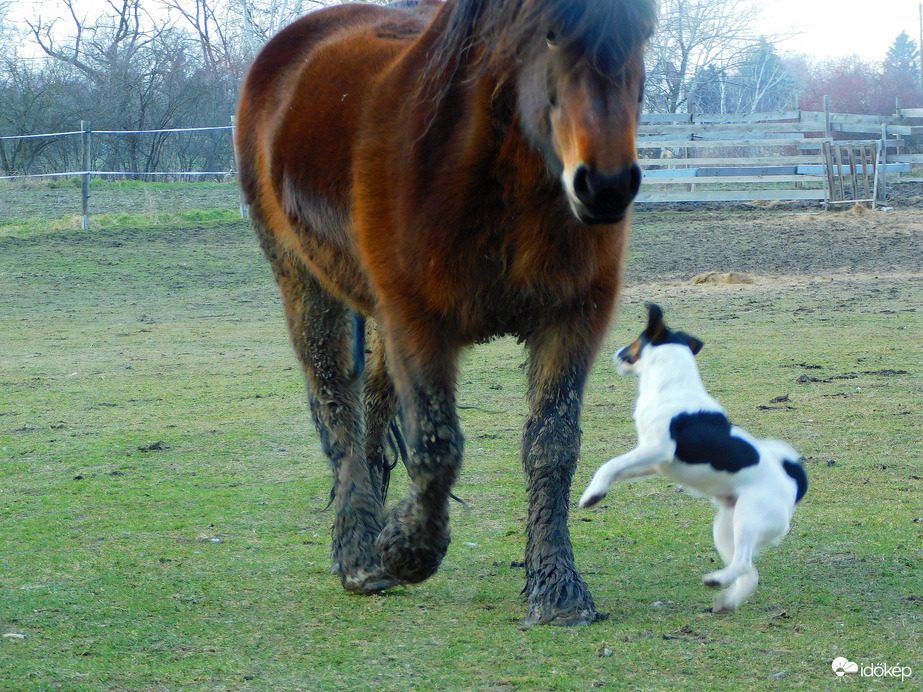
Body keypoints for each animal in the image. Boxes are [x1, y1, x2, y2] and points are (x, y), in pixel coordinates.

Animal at [238, 0, 656, 628]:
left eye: (643, 35)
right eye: (550, 33)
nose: (605, 184)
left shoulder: (574, 319)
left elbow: (552, 445)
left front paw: (556, 590)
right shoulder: (418, 321)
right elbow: (437, 448)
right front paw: (406, 551)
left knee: (372, 413)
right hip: (303, 284)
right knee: (337, 412)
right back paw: (360, 556)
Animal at [580, 302, 804, 612]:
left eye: (637, 338)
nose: (616, 352)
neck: (671, 385)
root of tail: (793, 487)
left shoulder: (658, 449)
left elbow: (609, 464)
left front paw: (591, 496)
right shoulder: (654, 461)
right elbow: (614, 468)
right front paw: (597, 491)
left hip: (747, 517)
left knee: (744, 562)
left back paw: (718, 581)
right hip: (725, 528)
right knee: (749, 572)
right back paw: (727, 598)